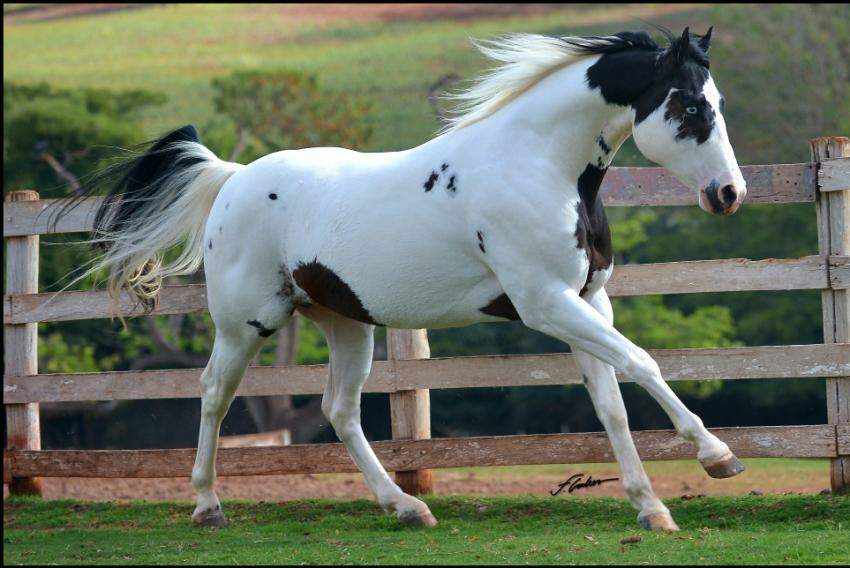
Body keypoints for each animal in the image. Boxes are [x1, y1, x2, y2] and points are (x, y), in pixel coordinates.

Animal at [63, 26, 744, 532]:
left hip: (345, 324)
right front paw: (718, 457)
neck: (536, 165)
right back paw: (208, 506)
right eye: (689, 106)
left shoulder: (588, 302)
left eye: (719, 105)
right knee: (213, 394)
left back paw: (407, 507)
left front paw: (651, 508)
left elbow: (611, 404)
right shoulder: (546, 304)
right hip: (245, 324)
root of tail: (232, 178)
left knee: (339, 410)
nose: (728, 194)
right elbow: (643, 364)